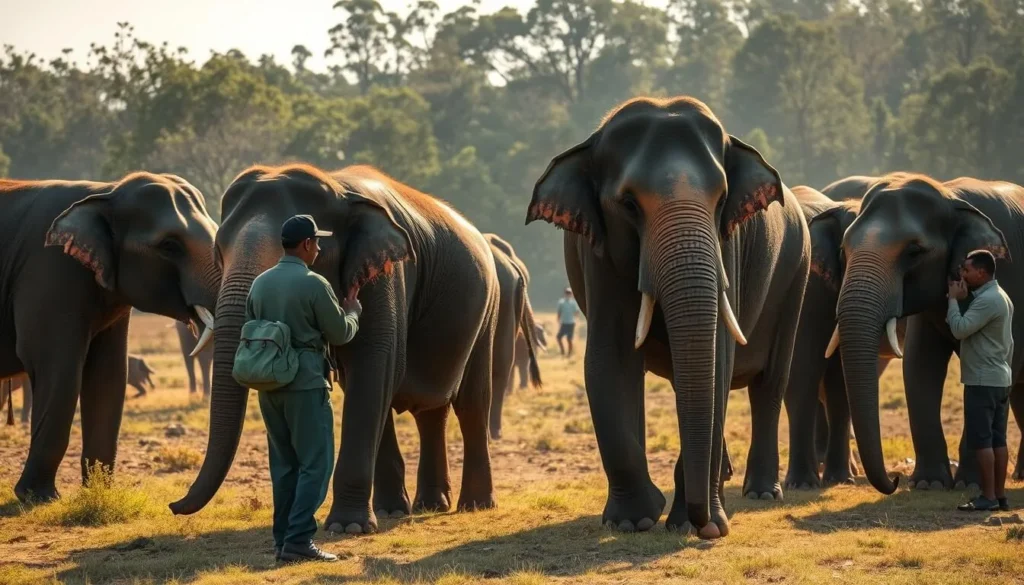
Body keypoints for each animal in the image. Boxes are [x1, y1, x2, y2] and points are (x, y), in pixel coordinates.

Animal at [0, 172, 219, 502]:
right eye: (169, 246)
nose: (172, 504)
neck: (107, 192)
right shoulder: (48, 271)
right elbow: (56, 368)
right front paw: (39, 498)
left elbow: (109, 374)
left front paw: (100, 491)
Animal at [170, 163, 502, 535]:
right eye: (219, 252)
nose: (174, 506)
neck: (337, 185)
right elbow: (369, 384)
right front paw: (384, 513)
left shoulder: (387, 278)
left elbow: (375, 368)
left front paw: (348, 527)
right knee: (431, 410)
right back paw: (426, 505)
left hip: (489, 308)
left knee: (471, 401)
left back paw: (475, 505)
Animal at [525, 96, 811, 537]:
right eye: (628, 204)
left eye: (721, 199)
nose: (706, 525)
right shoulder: (599, 255)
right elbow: (610, 358)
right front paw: (635, 520)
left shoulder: (727, 246)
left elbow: (717, 361)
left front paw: (695, 523)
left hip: (796, 274)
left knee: (770, 383)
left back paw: (761, 493)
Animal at [783, 185, 906, 489]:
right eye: (845, 253)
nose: (896, 479)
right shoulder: (809, 285)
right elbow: (800, 372)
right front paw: (801, 485)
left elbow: (839, 384)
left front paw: (840, 480)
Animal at [818, 172, 1024, 494]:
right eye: (843, 250)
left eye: (914, 252)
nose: (894, 480)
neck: (949, 195)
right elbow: (919, 366)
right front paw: (930, 484)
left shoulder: (1012, 279)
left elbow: (1003, 365)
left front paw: (969, 485)